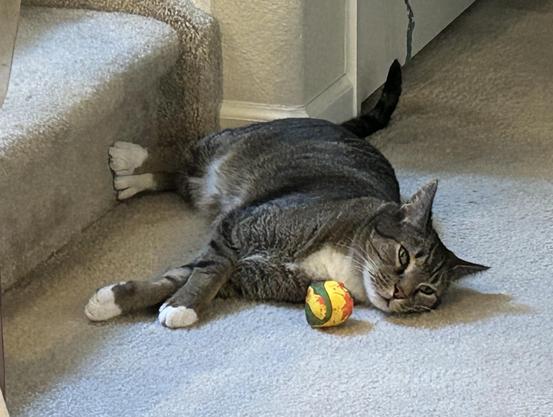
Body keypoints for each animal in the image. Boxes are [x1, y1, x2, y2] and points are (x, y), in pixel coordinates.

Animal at [84, 61, 486, 328]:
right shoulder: (236, 226)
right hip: (228, 146)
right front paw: (178, 305)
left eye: (427, 290)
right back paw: (129, 155)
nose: (400, 293)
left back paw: (133, 179)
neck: (341, 263)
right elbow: (207, 270)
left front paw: (124, 302)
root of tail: (342, 128)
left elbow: (182, 276)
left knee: (183, 180)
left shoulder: (244, 274)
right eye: (403, 256)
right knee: (186, 150)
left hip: (209, 192)